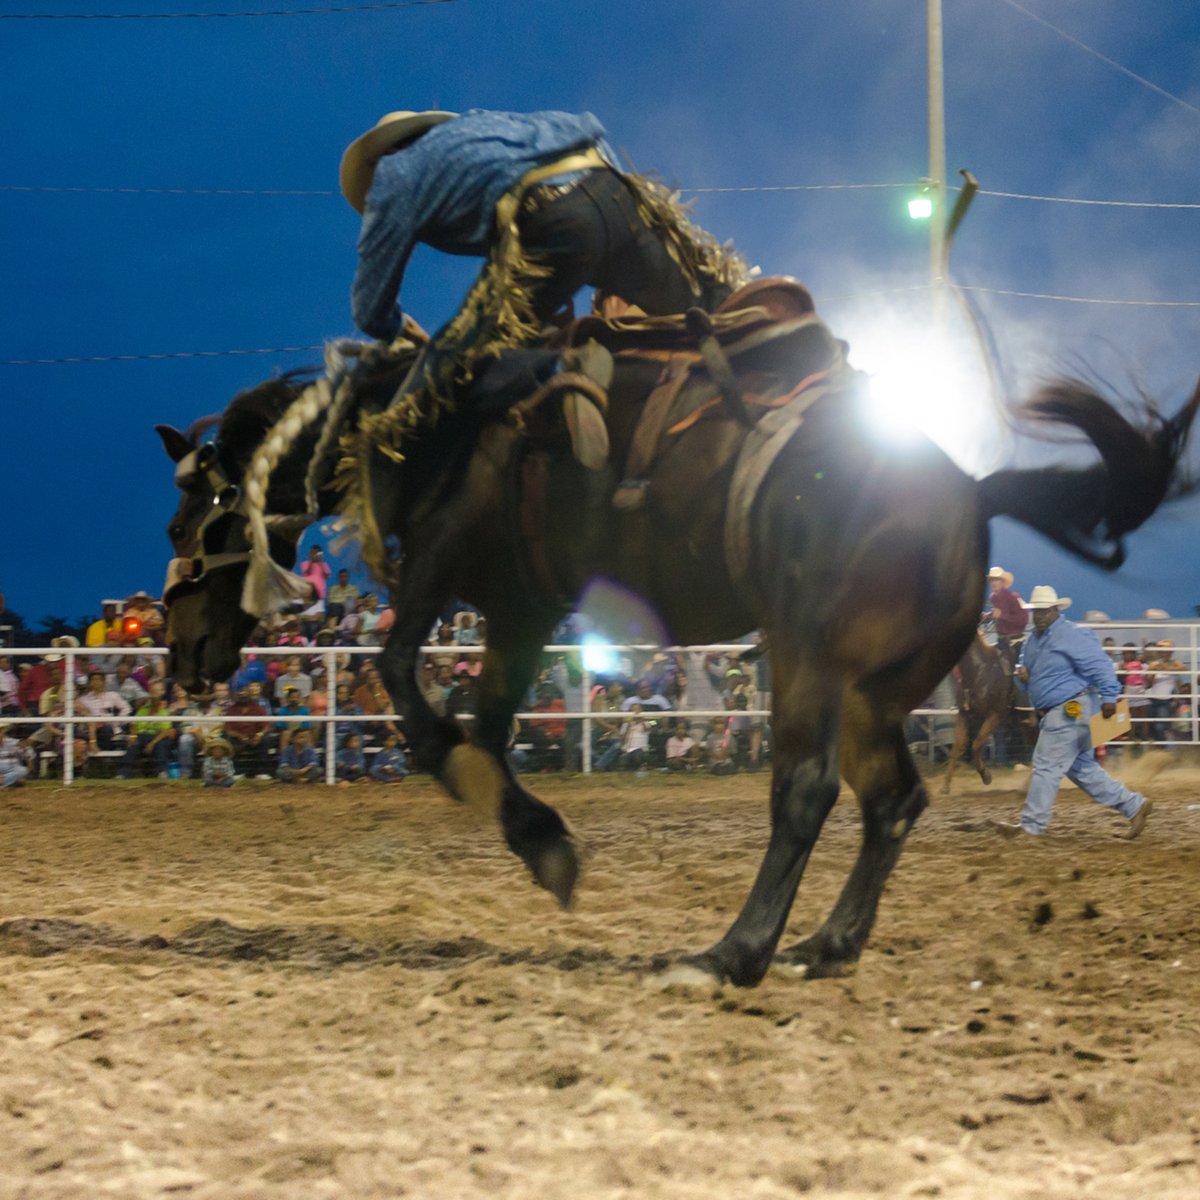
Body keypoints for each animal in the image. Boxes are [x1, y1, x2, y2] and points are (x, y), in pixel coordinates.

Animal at [154, 278, 1195, 984]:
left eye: (189, 523)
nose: (182, 652)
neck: (434, 418)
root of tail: (969, 494)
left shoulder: (448, 562)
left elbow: (408, 680)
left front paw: (500, 808)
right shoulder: (524, 605)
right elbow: (487, 721)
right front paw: (540, 840)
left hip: (809, 660)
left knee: (807, 791)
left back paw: (734, 952)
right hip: (875, 691)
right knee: (890, 800)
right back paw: (826, 943)